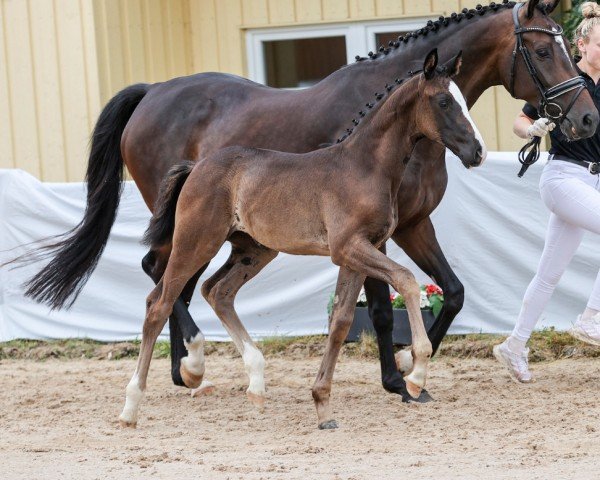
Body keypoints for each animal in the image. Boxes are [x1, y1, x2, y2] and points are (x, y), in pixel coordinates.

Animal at [118, 50, 488, 430]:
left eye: (462, 98)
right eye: (443, 101)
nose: (478, 151)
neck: (365, 166)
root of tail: (196, 167)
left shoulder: (357, 253)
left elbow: (340, 321)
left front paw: (323, 405)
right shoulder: (349, 248)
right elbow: (407, 280)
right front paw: (414, 375)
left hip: (253, 250)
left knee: (217, 291)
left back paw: (256, 384)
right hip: (196, 241)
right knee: (159, 303)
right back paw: (134, 406)